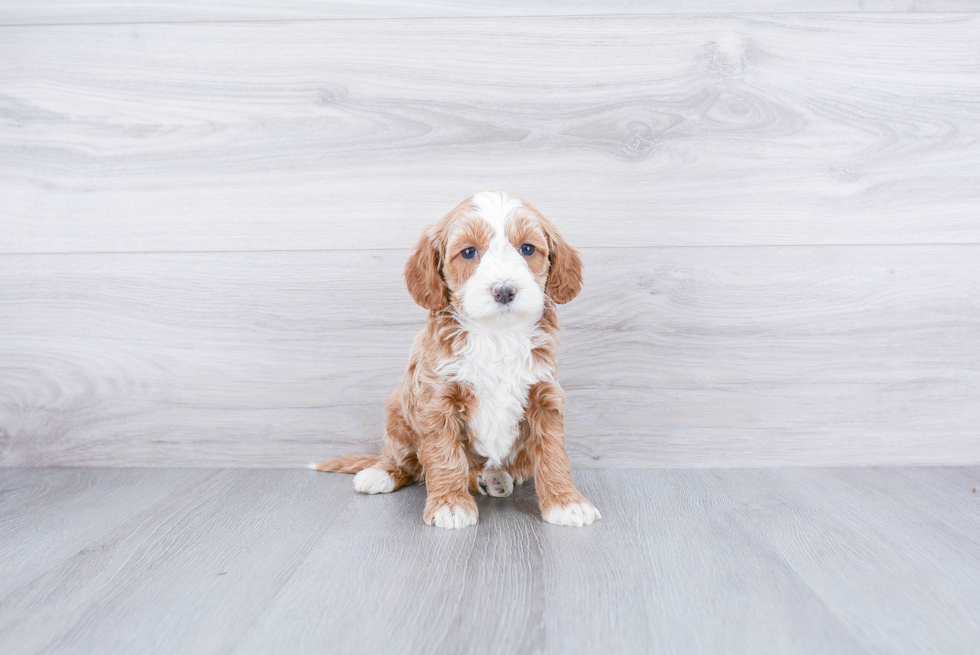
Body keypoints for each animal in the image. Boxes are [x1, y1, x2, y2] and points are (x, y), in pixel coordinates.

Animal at [314, 190, 596, 528]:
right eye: (468, 252)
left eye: (527, 248)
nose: (504, 290)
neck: (496, 334)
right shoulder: (437, 398)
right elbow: (443, 453)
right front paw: (449, 505)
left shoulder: (544, 394)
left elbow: (553, 452)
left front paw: (566, 502)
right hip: (398, 416)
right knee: (405, 461)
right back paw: (381, 473)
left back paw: (495, 478)